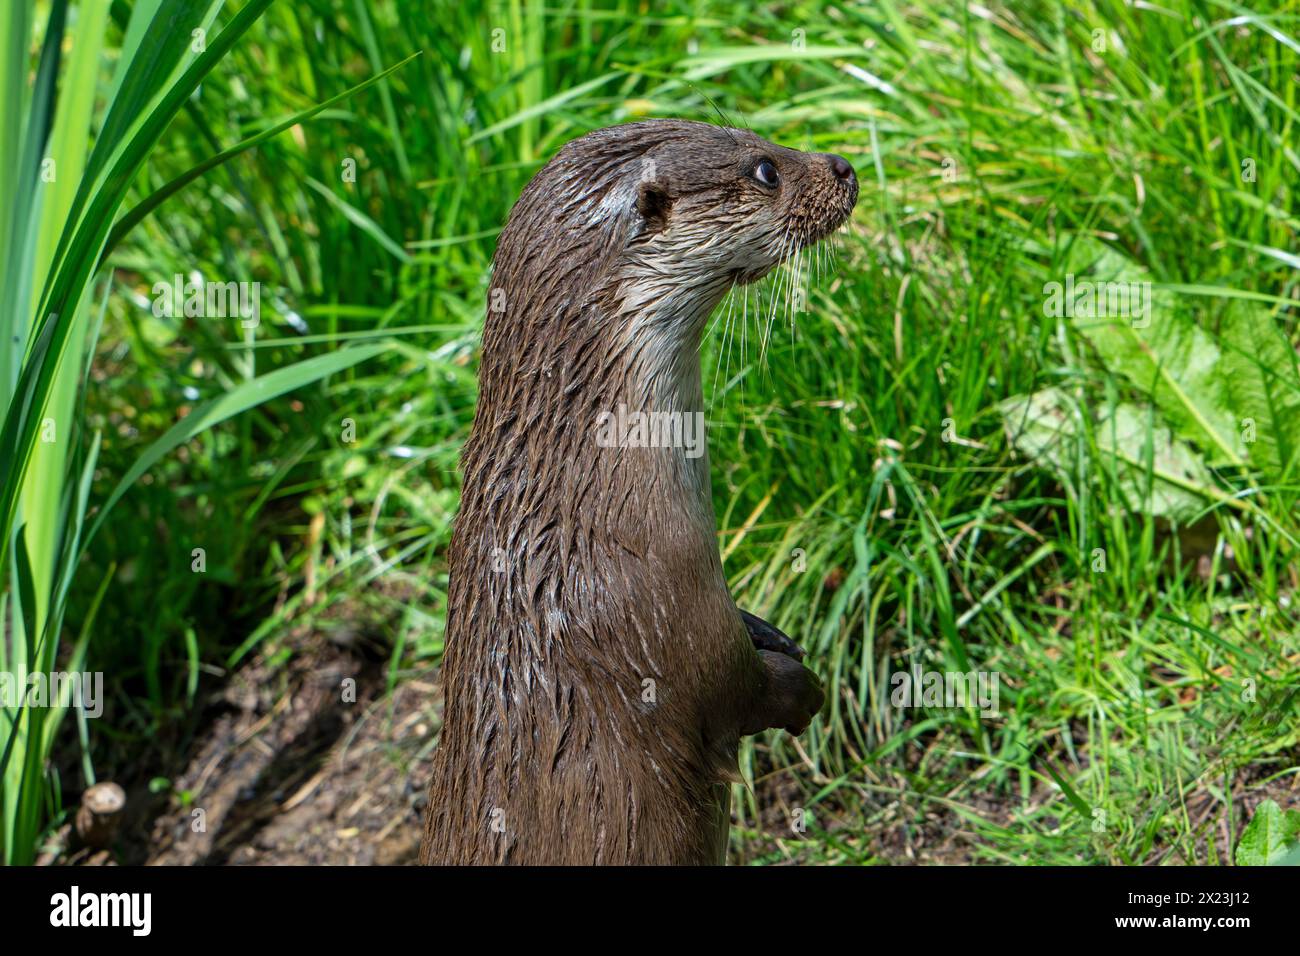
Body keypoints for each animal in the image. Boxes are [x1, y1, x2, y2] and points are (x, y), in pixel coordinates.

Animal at [420, 120, 858, 865]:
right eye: (765, 169)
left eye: (751, 132)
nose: (845, 167)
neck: (589, 506)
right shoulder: (661, 608)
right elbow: (728, 685)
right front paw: (801, 690)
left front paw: (775, 634)